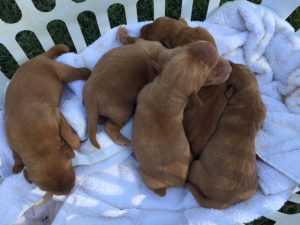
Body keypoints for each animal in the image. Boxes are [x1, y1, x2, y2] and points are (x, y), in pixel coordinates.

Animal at [4, 44, 90, 195]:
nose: (70, 192)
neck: (36, 143)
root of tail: (37, 58)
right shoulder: (10, 138)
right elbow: (15, 153)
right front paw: (17, 166)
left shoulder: (55, 115)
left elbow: (67, 133)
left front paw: (75, 142)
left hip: (62, 72)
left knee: (81, 71)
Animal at [132, 41, 221, 196]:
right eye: (188, 49)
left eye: (205, 68)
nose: (209, 45)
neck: (168, 94)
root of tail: (178, 182)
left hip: (148, 178)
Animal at [186, 62, 266, 208]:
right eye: (241, 65)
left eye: (229, 78)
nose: (229, 62)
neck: (248, 96)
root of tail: (224, 201)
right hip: (253, 188)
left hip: (195, 168)